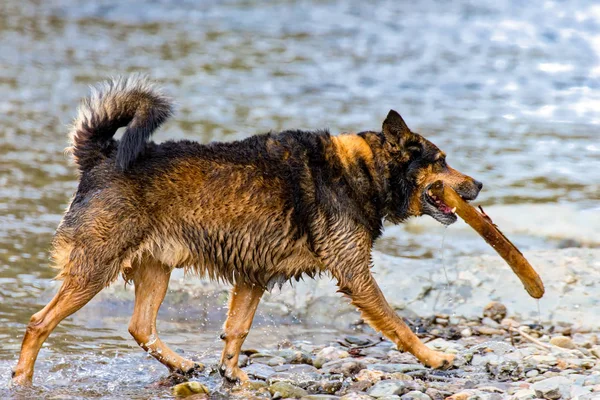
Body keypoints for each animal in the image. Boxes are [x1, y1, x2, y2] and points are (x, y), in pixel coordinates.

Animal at [12, 75, 482, 384]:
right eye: (441, 161)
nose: (478, 185)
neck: (362, 170)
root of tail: (99, 155)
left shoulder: (254, 274)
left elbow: (237, 328)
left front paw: (232, 372)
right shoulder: (355, 275)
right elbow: (399, 324)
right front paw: (435, 357)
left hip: (155, 267)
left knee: (140, 327)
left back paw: (182, 365)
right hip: (95, 267)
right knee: (38, 323)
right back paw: (22, 379)